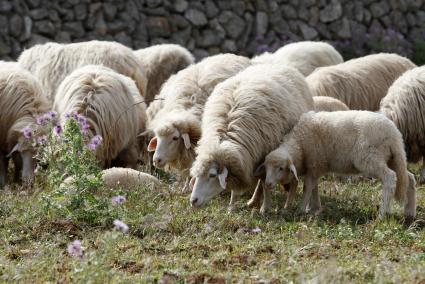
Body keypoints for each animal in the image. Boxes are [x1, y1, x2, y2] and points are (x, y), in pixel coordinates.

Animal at [147, 53, 250, 191]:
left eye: (175, 138)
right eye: (157, 138)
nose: (156, 160)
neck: (187, 106)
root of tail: (231, 55)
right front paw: (185, 188)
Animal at [190, 65, 314, 211]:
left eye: (212, 175)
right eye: (196, 174)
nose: (193, 200)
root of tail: (281, 65)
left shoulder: (262, 158)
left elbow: (264, 182)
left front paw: (262, 206)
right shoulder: (243, 160)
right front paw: (232, 206)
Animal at [252, 111, 414, 220]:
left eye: (280, 168)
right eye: (266, 168)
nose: (268, 183)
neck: (300, 143)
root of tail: (394, 134)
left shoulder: (314, 163)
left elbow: (307, 187)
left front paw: (301, 209)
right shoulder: (316, 168)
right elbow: (314, 187)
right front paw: (314, 208)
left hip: (370, 158)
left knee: (390, 178)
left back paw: (383, 214)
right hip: (393, 159)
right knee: (409, 178)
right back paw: (410, 213)